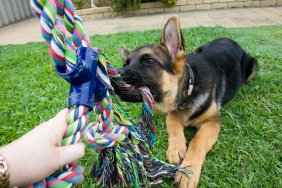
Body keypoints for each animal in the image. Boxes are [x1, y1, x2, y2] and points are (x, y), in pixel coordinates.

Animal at [115, 16, 258, 187]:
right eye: (126, 63)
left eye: (149, 60)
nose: (114, 75)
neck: (188, 91)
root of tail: (229, 39)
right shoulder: (172, 113)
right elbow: (173, 123)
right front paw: (176, 148)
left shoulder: (212, 121)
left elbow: (198, 141)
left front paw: (188, 171)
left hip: (253, 66)